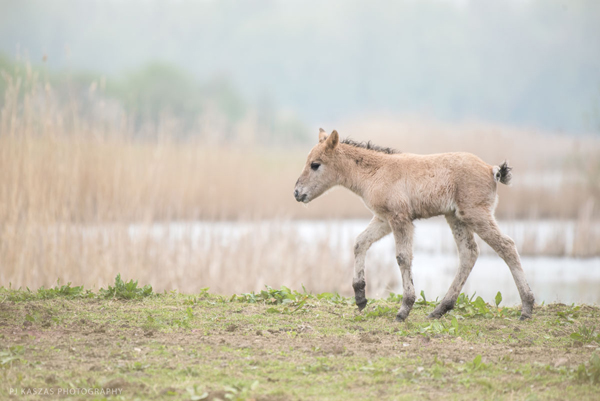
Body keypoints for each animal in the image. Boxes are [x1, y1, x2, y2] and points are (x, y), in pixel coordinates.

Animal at [296, 130, 536, 320]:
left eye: (315, 164)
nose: (297, 193)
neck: (376, 171)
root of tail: (492, 170)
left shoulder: (399, 218)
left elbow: (403, 258)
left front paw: (404, 309)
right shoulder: (383, 219)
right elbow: (359, 243)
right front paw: (360, 296)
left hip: (476, 214)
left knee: (506, 246)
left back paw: (527, 307)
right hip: (456, 217)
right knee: (469, 253)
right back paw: (440, 309)